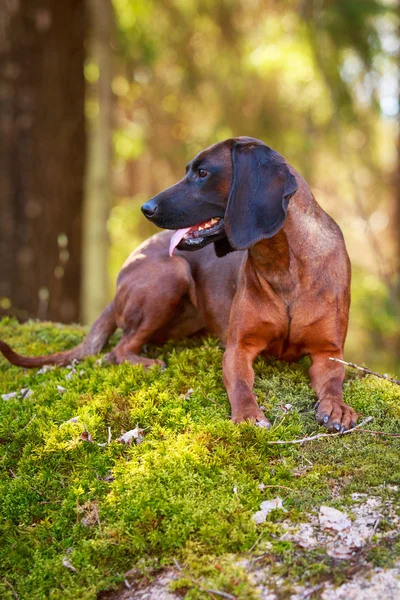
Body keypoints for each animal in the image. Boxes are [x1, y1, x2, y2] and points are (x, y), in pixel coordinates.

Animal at [0, 137, 356, 432]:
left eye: (202, 173)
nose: (146, 207)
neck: (284, 264)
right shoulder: (238, 348)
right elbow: (241, 385)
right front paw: (248, 414)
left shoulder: (328, 352)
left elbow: (334, 382)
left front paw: (337, 407)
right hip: (172, 273)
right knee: (117, 350)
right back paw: (147, 362)